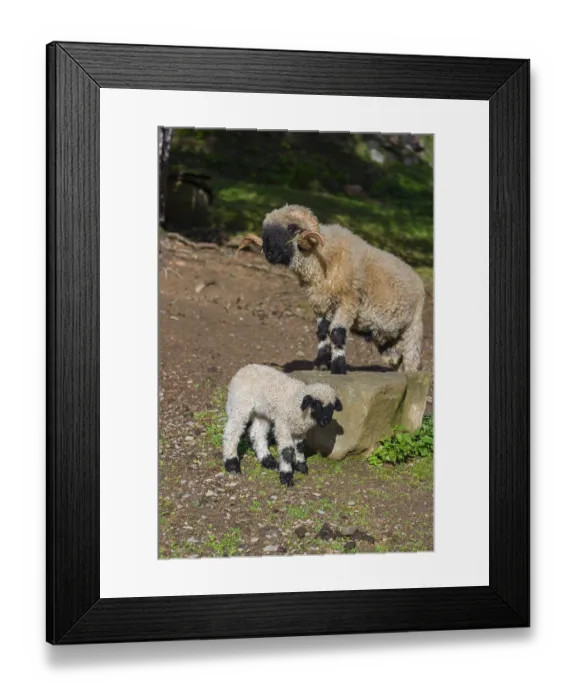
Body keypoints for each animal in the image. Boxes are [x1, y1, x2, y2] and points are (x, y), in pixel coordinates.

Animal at [237, 204, 425, 375]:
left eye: (292, 228)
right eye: (265, 231)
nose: (268, 253)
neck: (324, 258)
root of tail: (417, 277)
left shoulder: (348, 301)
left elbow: (337, 333)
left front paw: (338, 367)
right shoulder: (322, 302)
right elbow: (322, 333)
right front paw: (320, 364)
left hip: (413, 327)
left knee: (411, 357)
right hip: (389, 337)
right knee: (396, 358)